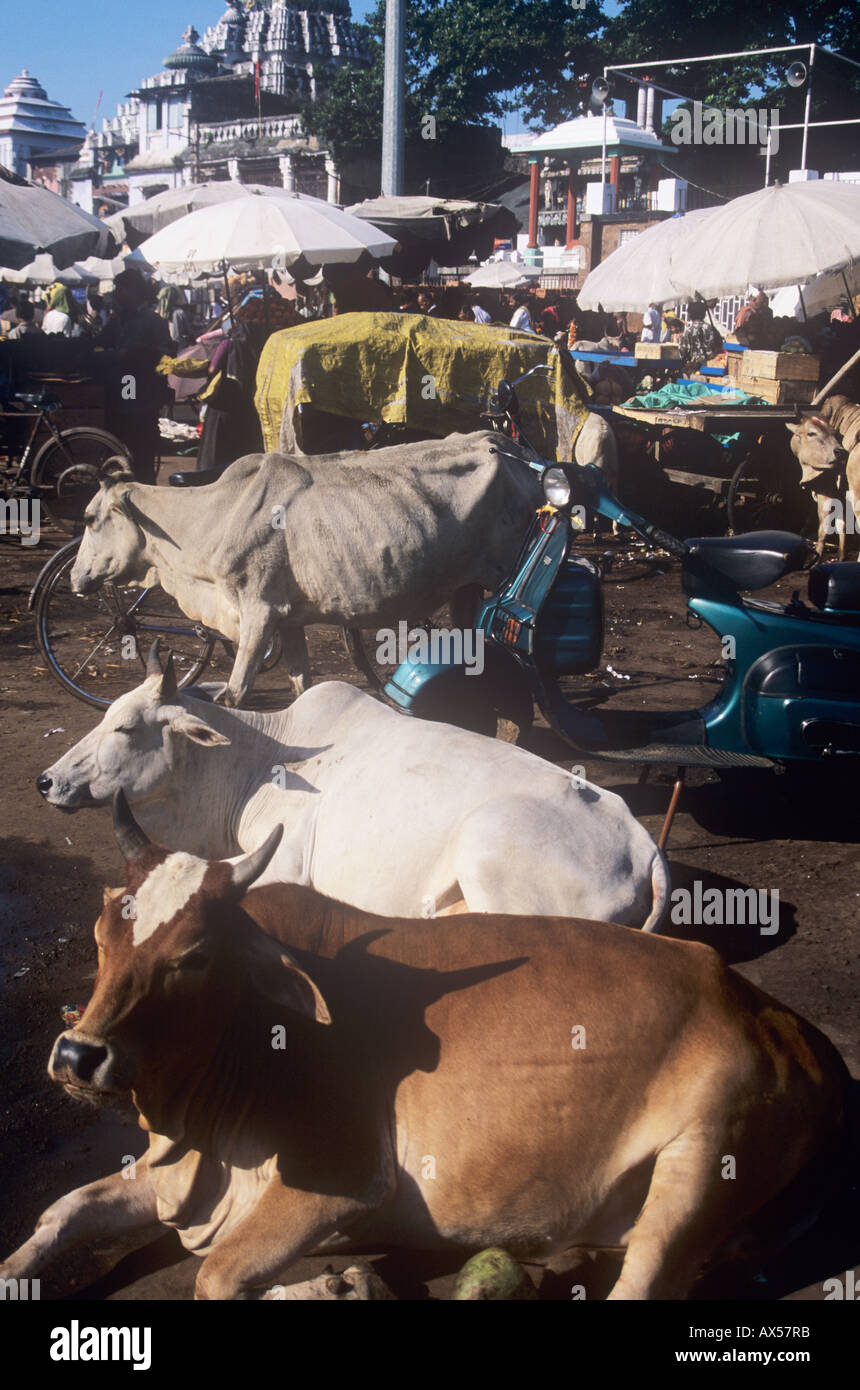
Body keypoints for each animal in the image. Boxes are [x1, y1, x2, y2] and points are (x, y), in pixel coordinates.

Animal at [0, 806, 850, 1301]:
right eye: (103, 935)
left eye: (195, 955)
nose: (78, 1056)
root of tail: (784, 1023)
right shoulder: (170, 1178)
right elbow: (60, 1211)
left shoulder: (341, 1181)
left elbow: (216, 1277)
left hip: (703, 1158)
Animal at [38, 653, 672, 934]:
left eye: (126, 727)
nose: (47, 780)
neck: (259, 759)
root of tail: (644, 846)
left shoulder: (280, 866)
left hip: (489, 856)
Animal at [70, 430, 541, 706]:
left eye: (90, 518)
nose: (75, 578)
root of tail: (514, 448)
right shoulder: (288, 617)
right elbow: (301, 686)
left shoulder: (258, 611)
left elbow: (234, 693)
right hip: (468, 587)